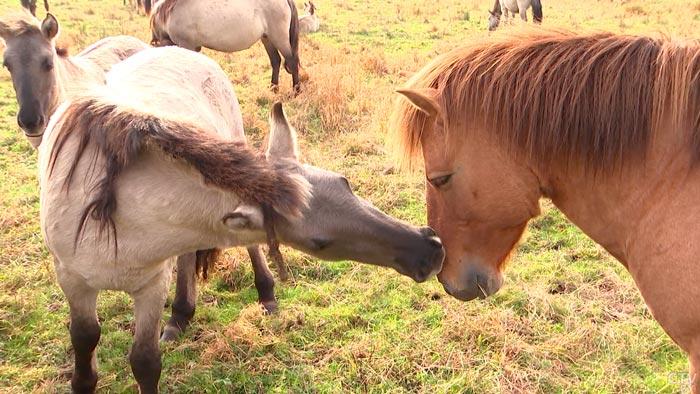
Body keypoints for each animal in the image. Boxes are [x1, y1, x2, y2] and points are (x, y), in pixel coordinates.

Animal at [146, 0, 302, 94]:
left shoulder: (186, 44)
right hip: (267, 38)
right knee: (276, 61)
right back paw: (273, 89)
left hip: (279, 38)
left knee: (292, 61)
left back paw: (296, 91)